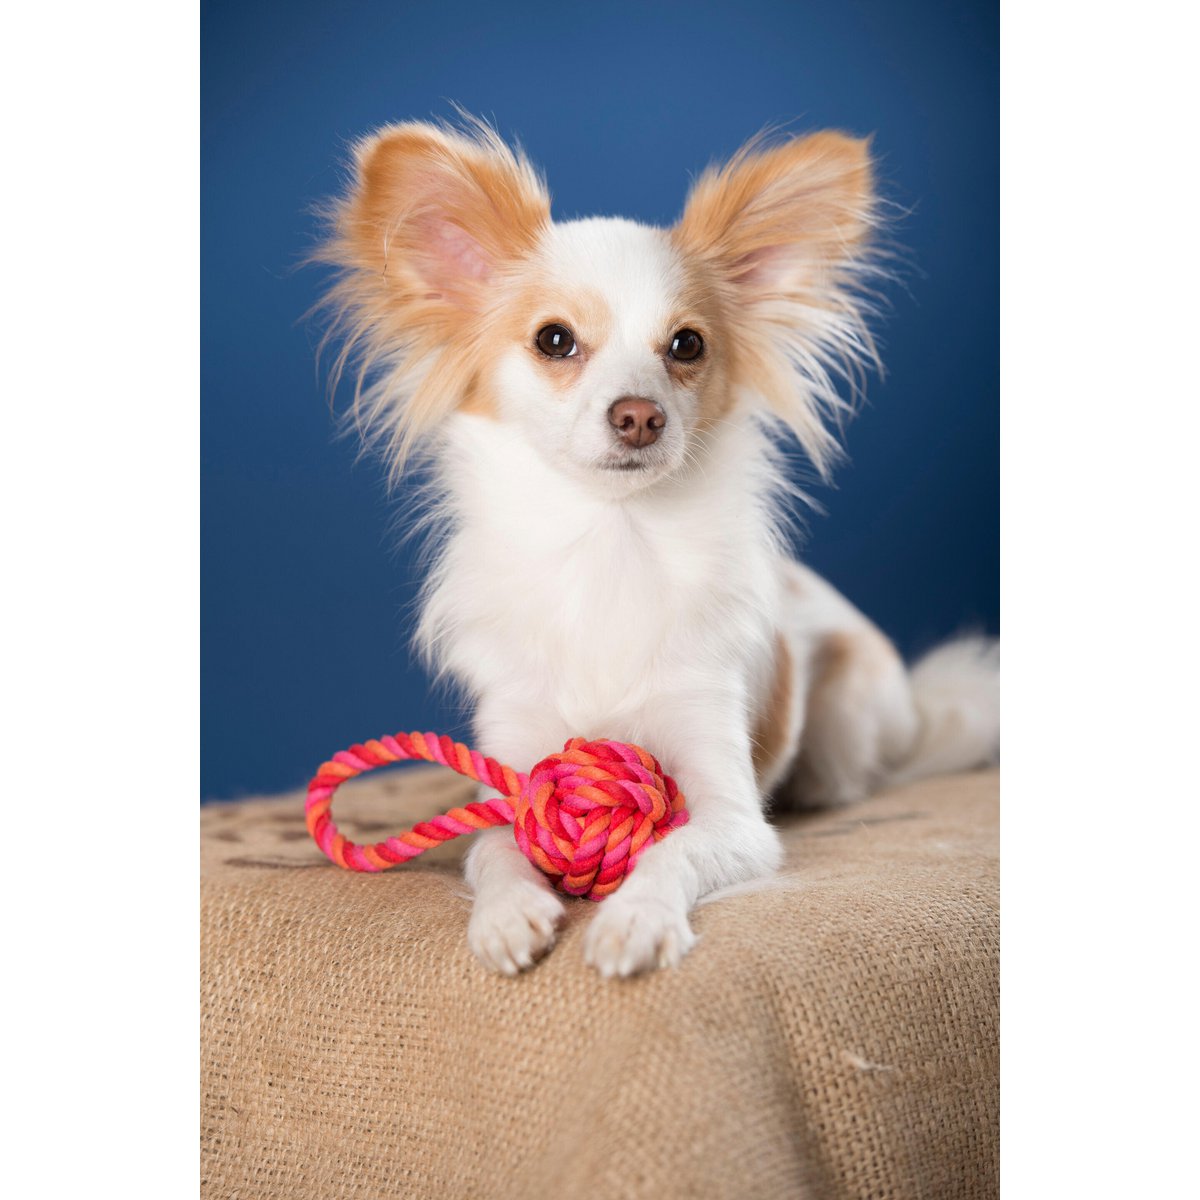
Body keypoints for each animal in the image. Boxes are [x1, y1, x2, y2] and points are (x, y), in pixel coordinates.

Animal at [314, 114, 998, 974]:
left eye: (687, 346)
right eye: (554, 340)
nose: (640, 415)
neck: (612, 539)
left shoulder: (733, 815)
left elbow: (675, 849)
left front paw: (634, 921)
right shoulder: (511, 774)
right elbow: (494, 850)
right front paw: (507, 917)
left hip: (851, 705)